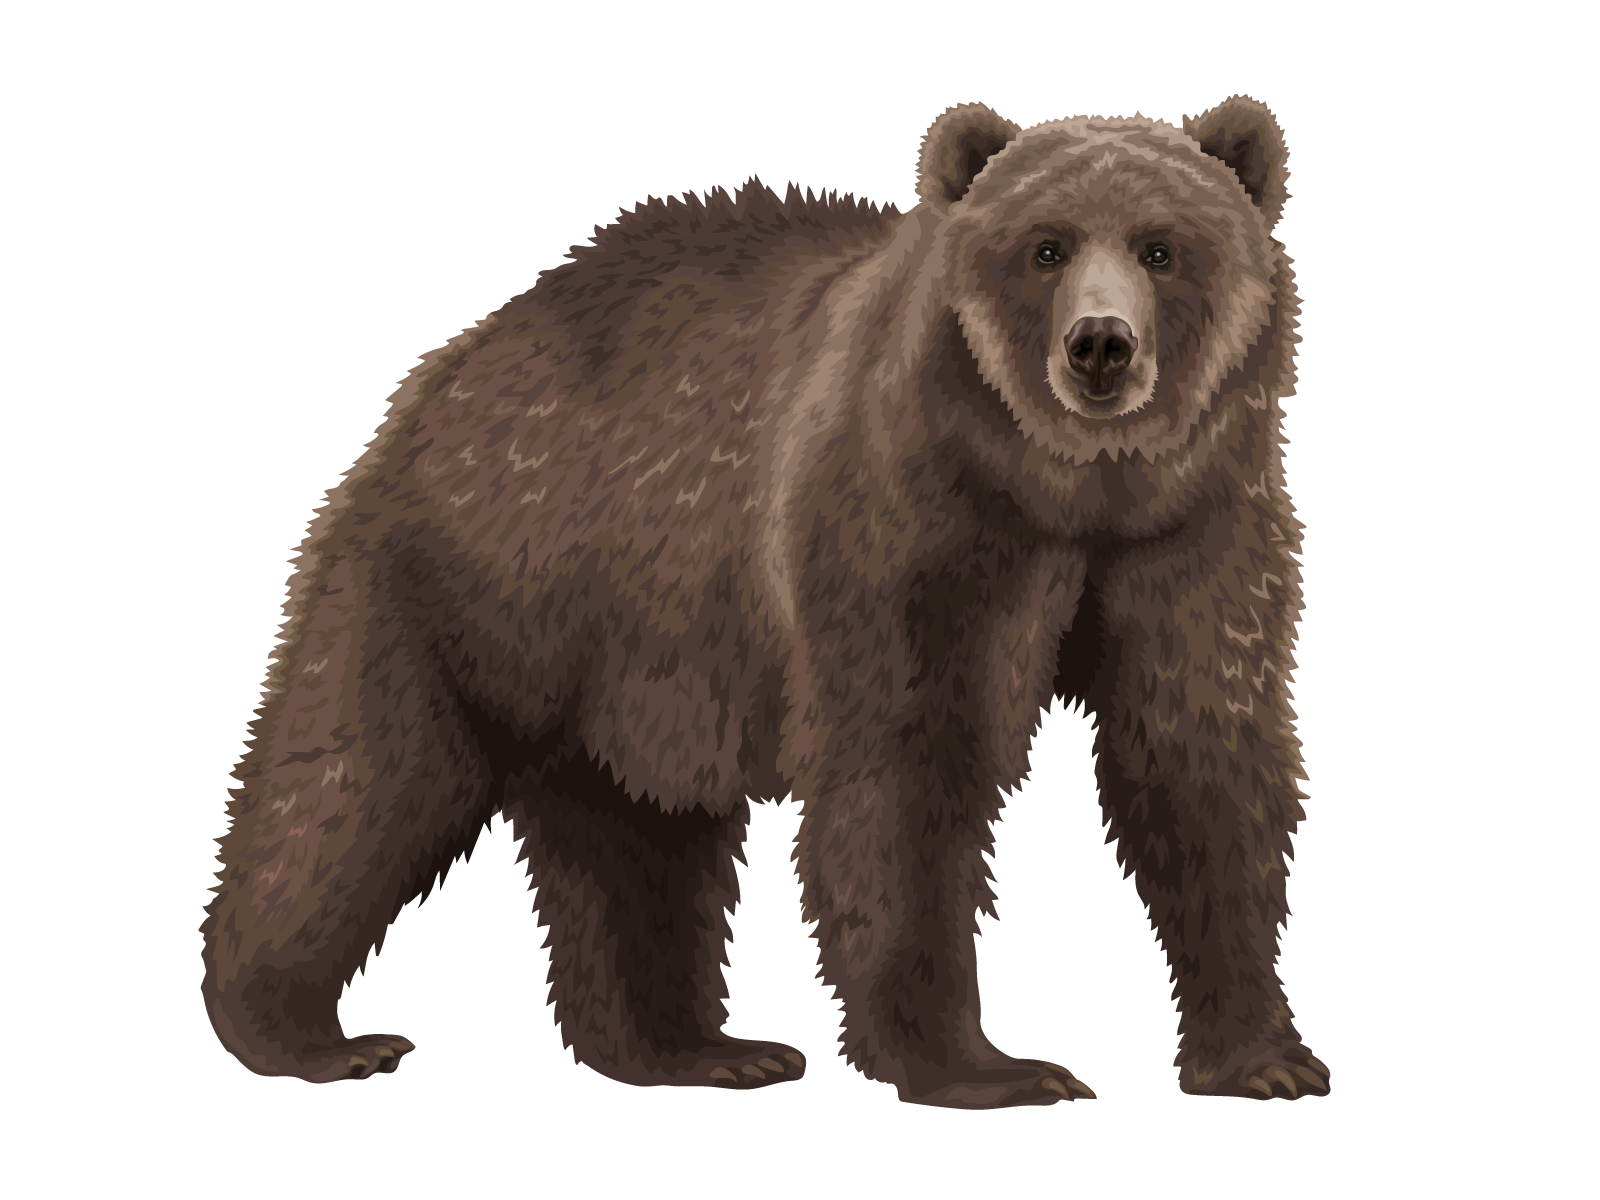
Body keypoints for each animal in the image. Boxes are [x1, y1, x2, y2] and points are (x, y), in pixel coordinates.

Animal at [202, 95, 1328, 1109]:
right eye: (1044, 247)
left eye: (1162, 247)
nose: (1100, 345)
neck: (1064, 489)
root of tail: (460, 358)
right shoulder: (909, 523)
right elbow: (906, 765)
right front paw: (989, 1067)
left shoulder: (1193, 524)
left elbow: (1198, 753)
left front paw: (1262, 1055)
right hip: (483, 566)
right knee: (361, 779)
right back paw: (305, 1031)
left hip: (635, 650)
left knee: (635, 838)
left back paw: (697, 1050)